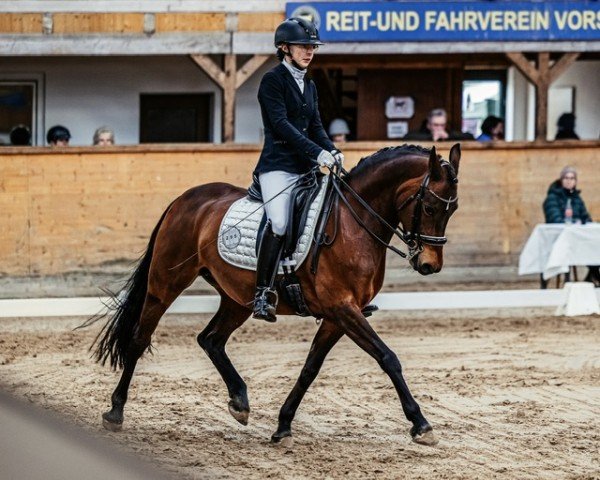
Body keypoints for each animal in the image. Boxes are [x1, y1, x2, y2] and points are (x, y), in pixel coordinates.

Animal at [92, 142, 460, 446]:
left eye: (452, 210)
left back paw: (239, 401)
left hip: (237, 298)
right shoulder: (342, 308)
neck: (354, 224)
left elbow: (310, 369)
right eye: (429, 207)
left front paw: (283, 426)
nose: (429, 265)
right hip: (165, 283)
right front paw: (420, 424)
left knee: (210, 339)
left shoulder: (338, 315)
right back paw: (115, 412)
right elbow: (388, 358)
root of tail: (186, 198)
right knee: (139, 340)